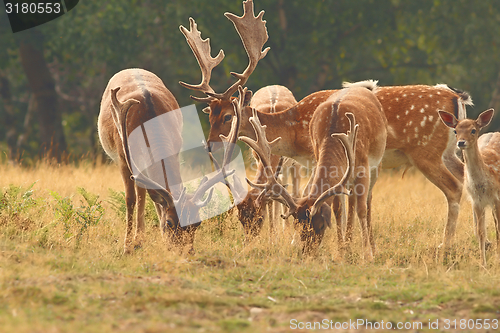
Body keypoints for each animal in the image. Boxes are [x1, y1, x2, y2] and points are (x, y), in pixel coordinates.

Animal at [98, 68, 239, 253]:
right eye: (169, 223)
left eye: (198, 223)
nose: (186, 252)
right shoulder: (123, 157)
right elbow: (130, 199)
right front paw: (127, 247)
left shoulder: (176, 149)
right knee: (138, 194)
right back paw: (135, 241)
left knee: (144, 192)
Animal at [438, 109, 500, 264]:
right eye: (455, 130)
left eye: (473, 130)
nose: (461, 142)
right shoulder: (477, 201)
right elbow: (481, 232)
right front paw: (483, 263)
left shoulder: (497, 197)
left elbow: (498, 228)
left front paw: (497, 259)